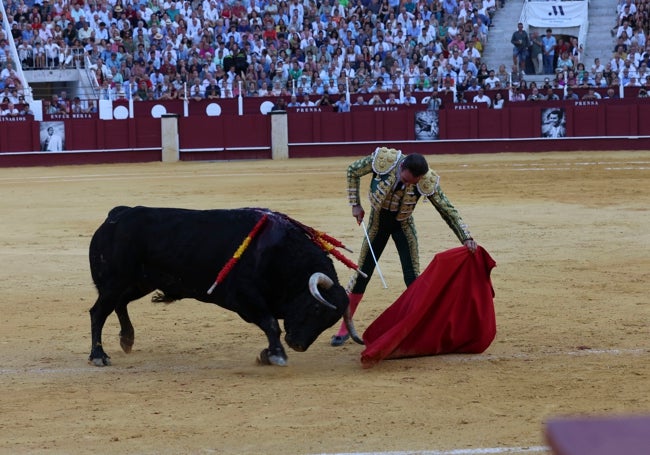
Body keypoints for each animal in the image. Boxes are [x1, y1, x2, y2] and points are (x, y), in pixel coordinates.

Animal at [87, 207, 360, 366]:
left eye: (330, 321)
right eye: (316, 309)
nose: (298, 345)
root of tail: (116, 216)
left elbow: (270, 324)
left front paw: (267, 354)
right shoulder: (243, 297)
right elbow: (271, 323)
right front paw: (276, 354)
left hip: (138, 282)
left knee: (119, 304)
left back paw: (127, 339)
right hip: (115, 281)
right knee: (98, 312)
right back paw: (99, 356)